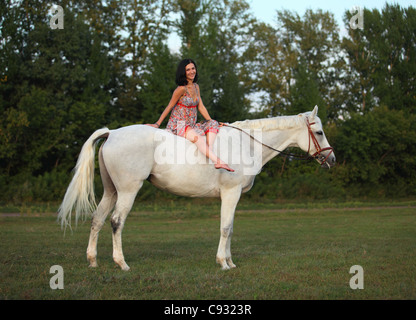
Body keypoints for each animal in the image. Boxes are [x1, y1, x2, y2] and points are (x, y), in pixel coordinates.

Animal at [57, 105, 334, 270]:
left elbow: (230, 228)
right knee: (116, 221)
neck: (246, 143)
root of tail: (112, 133)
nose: (331, 159)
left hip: (111, 191)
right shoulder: (230, 193)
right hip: (127, 190)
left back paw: (93, 260)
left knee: (97, 219)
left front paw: (230, 262)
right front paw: (223, 263)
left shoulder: (234, 197)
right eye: (319, 132)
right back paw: (121, 263)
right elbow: (225, 228)